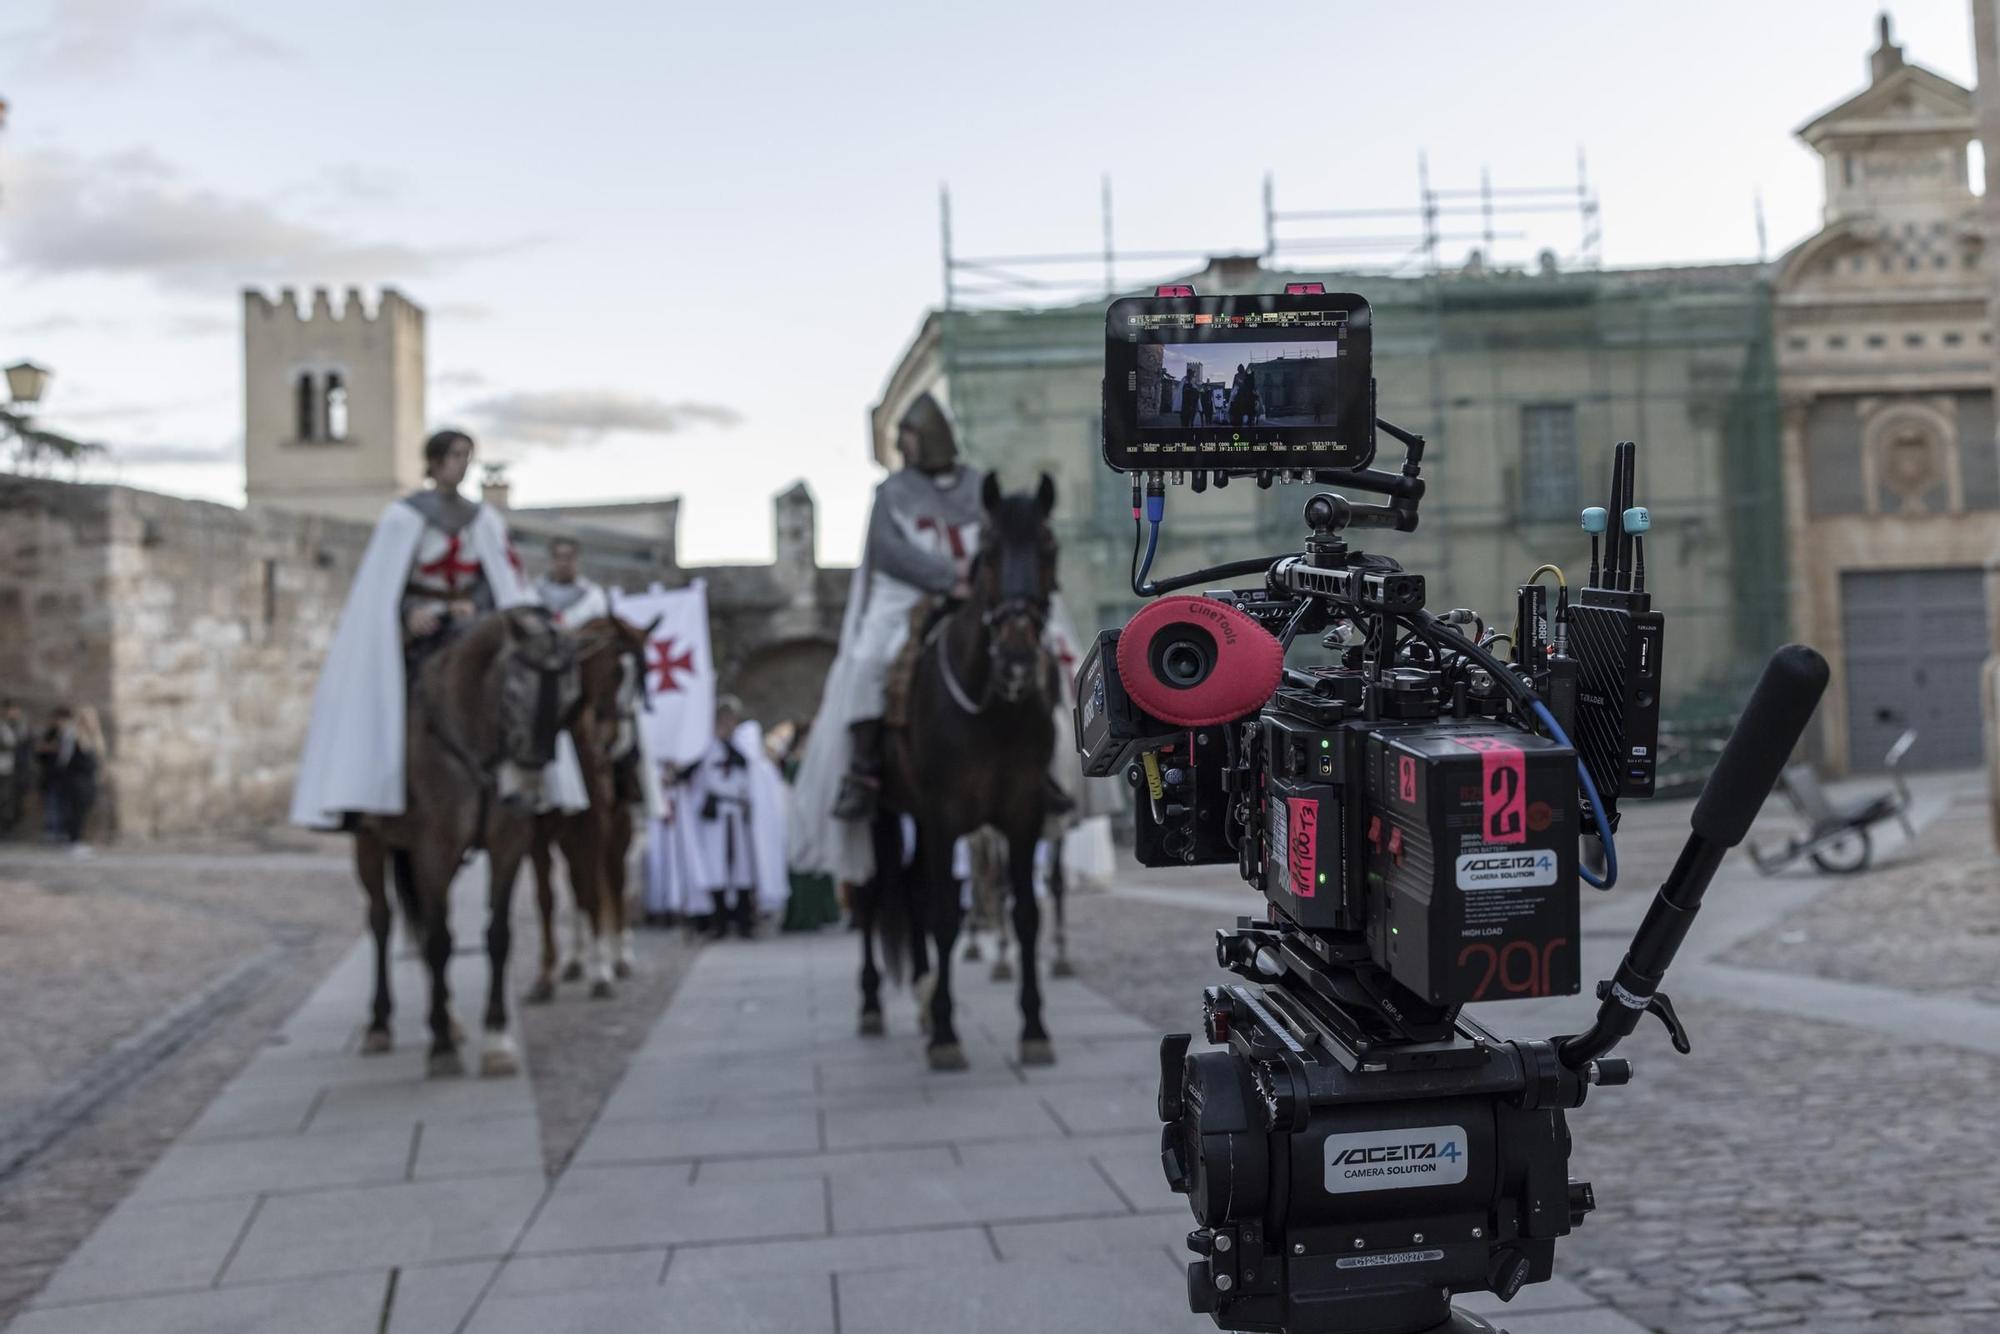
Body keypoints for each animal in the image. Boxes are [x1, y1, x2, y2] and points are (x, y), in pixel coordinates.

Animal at [352, 612, 580, 1080]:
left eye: (570, 700)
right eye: (513, 694)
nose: (524, 795)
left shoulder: (507, 847)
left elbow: (498, 936)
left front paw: (496, 1040)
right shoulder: (433, 851)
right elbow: (440, 940)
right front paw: (440, 1049)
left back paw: (452, 1020)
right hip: (370, 843)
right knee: (382, 922)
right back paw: (381, 1024)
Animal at [528, 616, 652, 1000]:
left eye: (642, 676)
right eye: (615, 670)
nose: (615, 741)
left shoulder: (596, 824)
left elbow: (598, 894)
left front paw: (602, 974)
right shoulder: (536, 834)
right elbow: (547, 899)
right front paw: (545, 977)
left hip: (618, 826)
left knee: (612, 879)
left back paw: (620, 955)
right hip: (568, 838)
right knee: (578, 885)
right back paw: (574, 959)